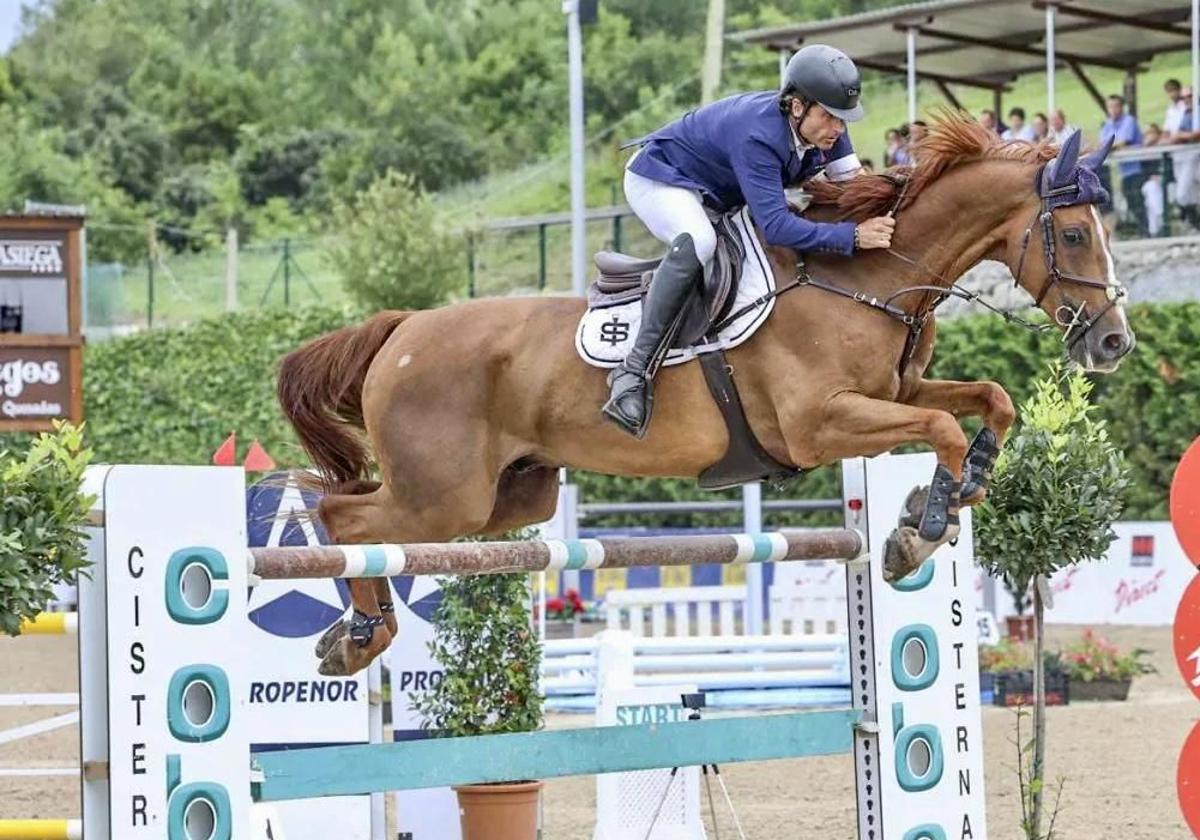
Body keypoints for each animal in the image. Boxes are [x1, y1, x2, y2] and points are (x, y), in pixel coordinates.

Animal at [278, 114, 1132, 676]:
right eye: (1076, 234)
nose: (1114, 343)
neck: (867, 278)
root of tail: (402, 328)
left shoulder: (900, 388)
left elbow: (987, 399)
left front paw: (962, 488)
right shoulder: (820, 425)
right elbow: (940, 427)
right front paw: (920, 531)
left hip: (506, 499)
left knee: (358, 509)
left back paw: (353, 635)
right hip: (441, 497)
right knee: (343, 516)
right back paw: (361, 633)